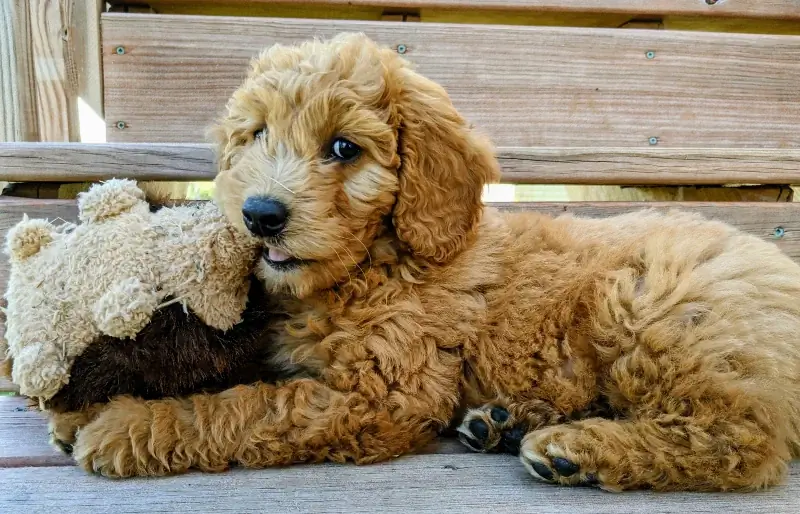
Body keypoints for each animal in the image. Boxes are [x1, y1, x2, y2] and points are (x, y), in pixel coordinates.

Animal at [62, 34, 800, 490]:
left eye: (343, 148)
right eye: (258, 134)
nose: (261, 214)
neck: (373, 264)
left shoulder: (384, 393)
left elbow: (248, 406)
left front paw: (127, 425)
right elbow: (235, 379)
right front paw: (77, 414)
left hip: (651, 308)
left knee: (740, 442)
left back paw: (574, 452)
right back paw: (502, 423)